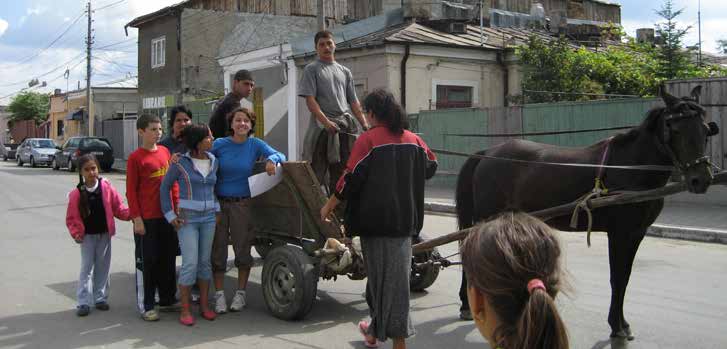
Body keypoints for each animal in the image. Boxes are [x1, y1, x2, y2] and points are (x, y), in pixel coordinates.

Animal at [458, 86, 720, 340]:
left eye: (705, 130)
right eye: (673, 129)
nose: (700, 179)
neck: (630, 167)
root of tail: (489, 152)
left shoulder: (637, 233)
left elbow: (625, 277)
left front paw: (622, 323)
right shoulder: (620, 233)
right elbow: (617, 277)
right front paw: (616, 326)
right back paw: (467, 306)